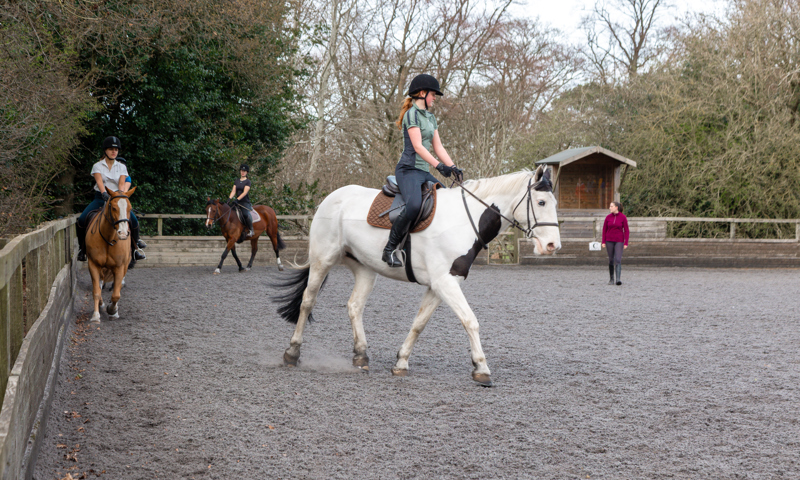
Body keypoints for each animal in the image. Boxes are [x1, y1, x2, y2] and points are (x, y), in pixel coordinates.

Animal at [85, 188, 137, 323]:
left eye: (130, 208)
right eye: (113, 208)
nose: (123, 233)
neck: (108, 238)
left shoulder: (119, 267)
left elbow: (116, 295)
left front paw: (112, 310)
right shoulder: (93, 265)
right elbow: (96, 291)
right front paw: (96, 315)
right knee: (100, 284)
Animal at [273, 166, 560, 386]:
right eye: (541, 202)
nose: (552, 246)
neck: (463, 221)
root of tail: (331, 197)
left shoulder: (440, 284)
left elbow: (419, 323)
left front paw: (401, 362)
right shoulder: (445, 283)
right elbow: (470, 321)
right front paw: (481, 368)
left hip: (365, 269)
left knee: (354, 306)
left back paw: (361, 355)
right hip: (323, 260)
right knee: (308, 301)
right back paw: (292, 352)